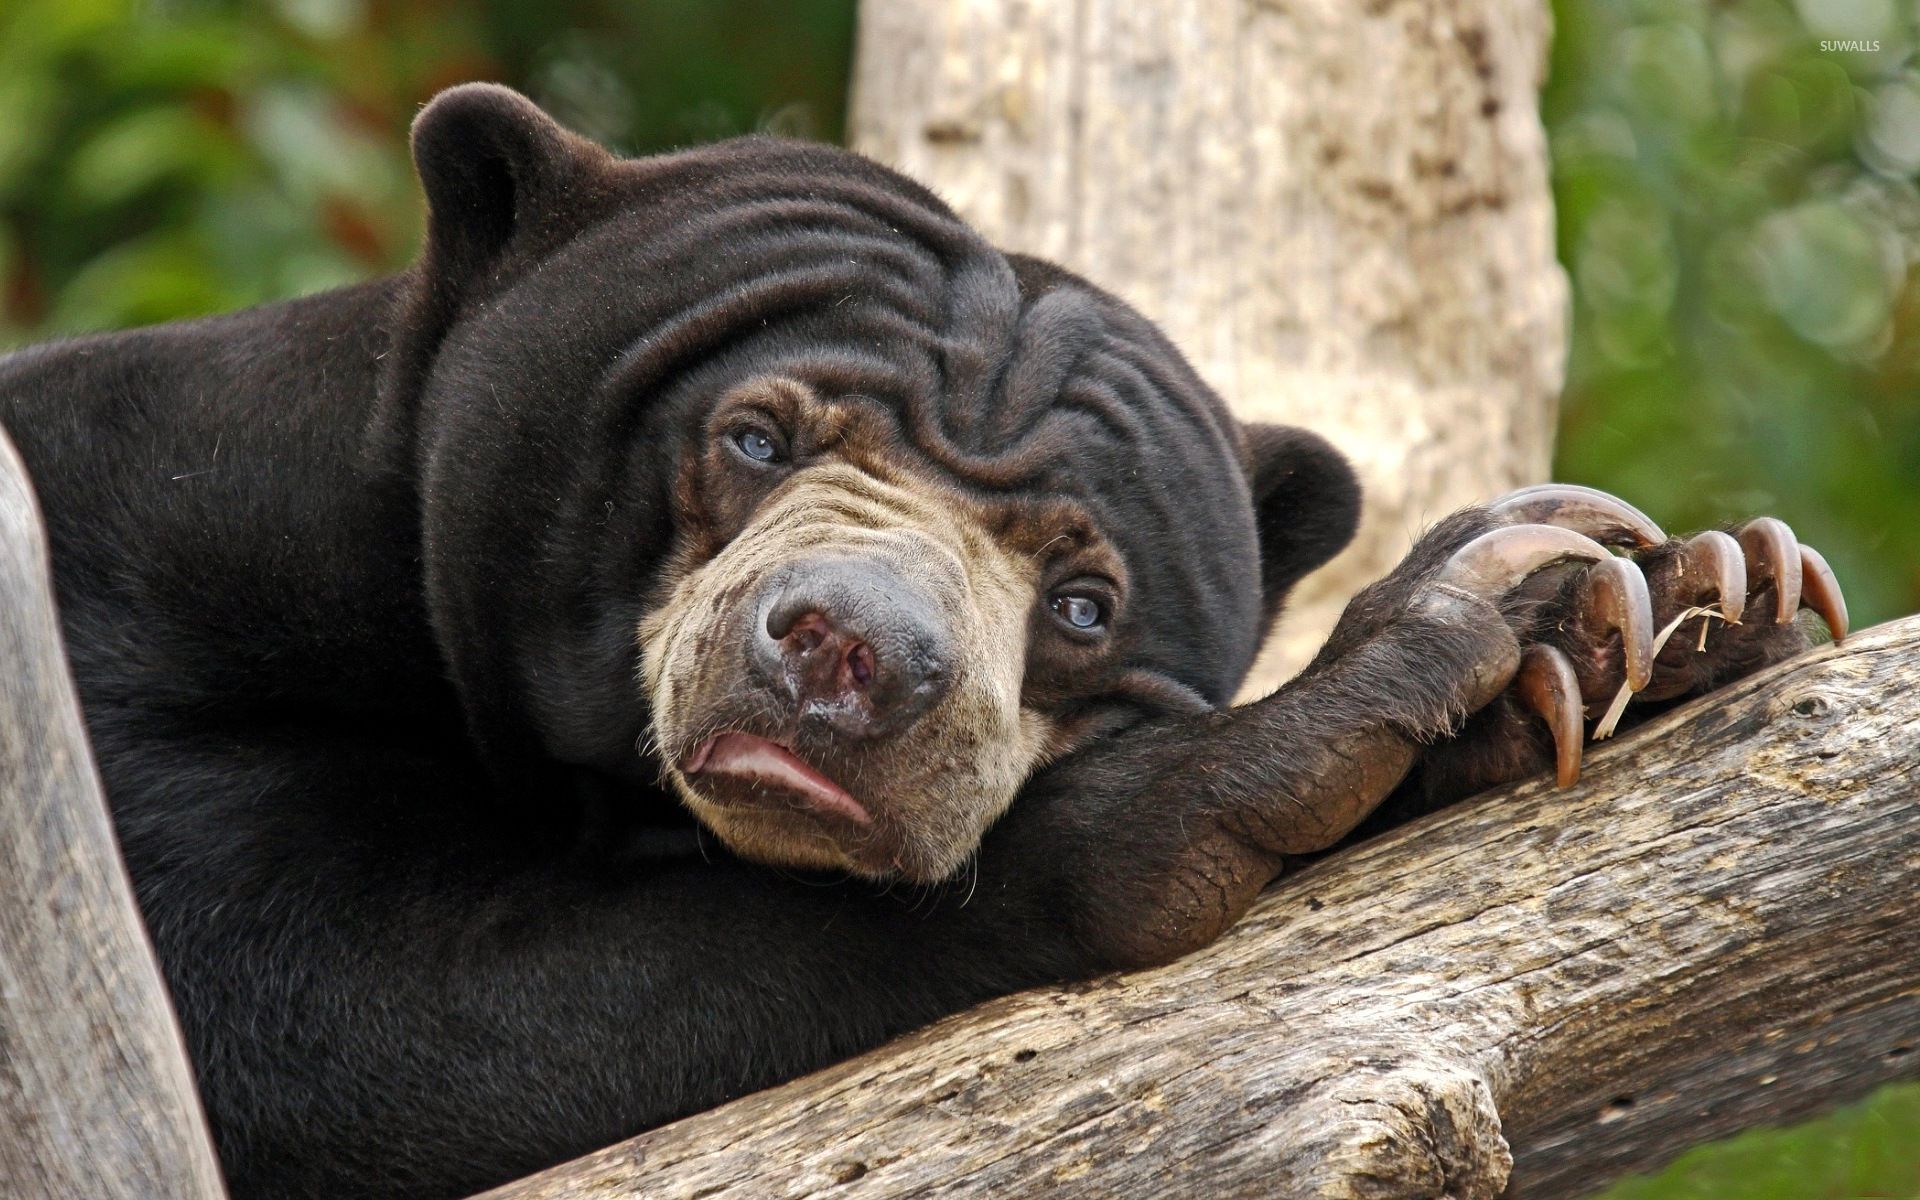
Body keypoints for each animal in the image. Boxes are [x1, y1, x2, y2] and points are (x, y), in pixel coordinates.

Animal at [0, 84, 1844, 1199]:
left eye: (1086, 603)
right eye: (753, 437)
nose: (848, 655)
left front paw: (1662, 603)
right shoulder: (129, 635)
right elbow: (323, 1027)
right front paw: (1338, 717)